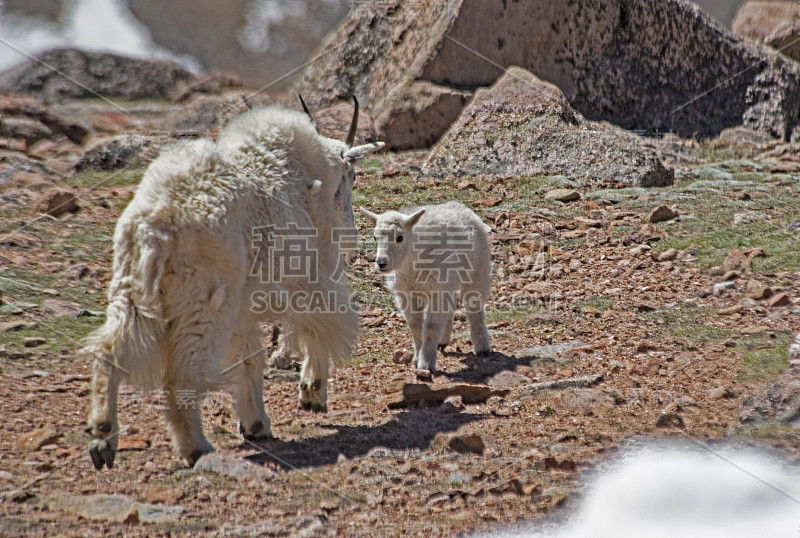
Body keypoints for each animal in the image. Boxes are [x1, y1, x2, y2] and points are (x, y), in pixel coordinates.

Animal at [83, 99, 382, 464]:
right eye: (351, 177)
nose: (351, 236)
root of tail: (157, 225)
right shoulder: (311, 276)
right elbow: (316, 329)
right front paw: (312, 393)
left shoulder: (243, 307)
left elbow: (250, 358)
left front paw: (255, 424)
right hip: (205, 305)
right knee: (181, 375)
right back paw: (195, 447)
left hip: (132, 290)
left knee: (109, 351)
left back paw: (102, 440)